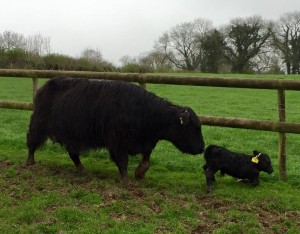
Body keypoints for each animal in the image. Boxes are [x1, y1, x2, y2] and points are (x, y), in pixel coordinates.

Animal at [26, 76, 206, 182]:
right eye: (194, 128)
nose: (202, 148)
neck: (143, 111)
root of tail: (46, 85)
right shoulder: (117, 142)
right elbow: (122, 161)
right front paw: (126, 180)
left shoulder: (145, 141)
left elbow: (146, 160)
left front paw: (139, 173)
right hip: (39, 125)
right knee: (32, 143)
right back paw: (30, 163)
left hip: (72, 136)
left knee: (73, 153)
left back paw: (82, 169)